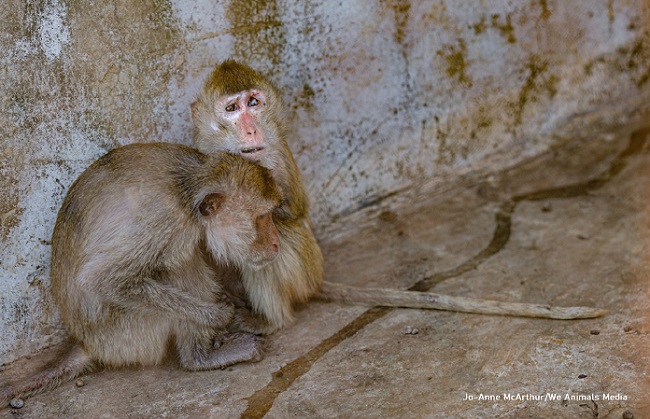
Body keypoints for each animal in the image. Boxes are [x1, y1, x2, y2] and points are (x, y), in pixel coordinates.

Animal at [1, 143, 280, 406]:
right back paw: (199, 358)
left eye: (270, 214)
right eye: (263, 216)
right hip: (125, 334)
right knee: (178, 263)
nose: (276, 242)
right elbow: (103, 281)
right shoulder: (164, 220)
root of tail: (85, 342)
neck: (187, 190)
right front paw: (217, 314)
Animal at [190, 60, 604, 334]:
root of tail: (317, 278)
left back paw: (270, 322)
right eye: (231, 109)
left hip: (304, 269)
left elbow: (288, 213)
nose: (251, 129)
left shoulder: (276, 152)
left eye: (253, 103)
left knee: (274, 245)